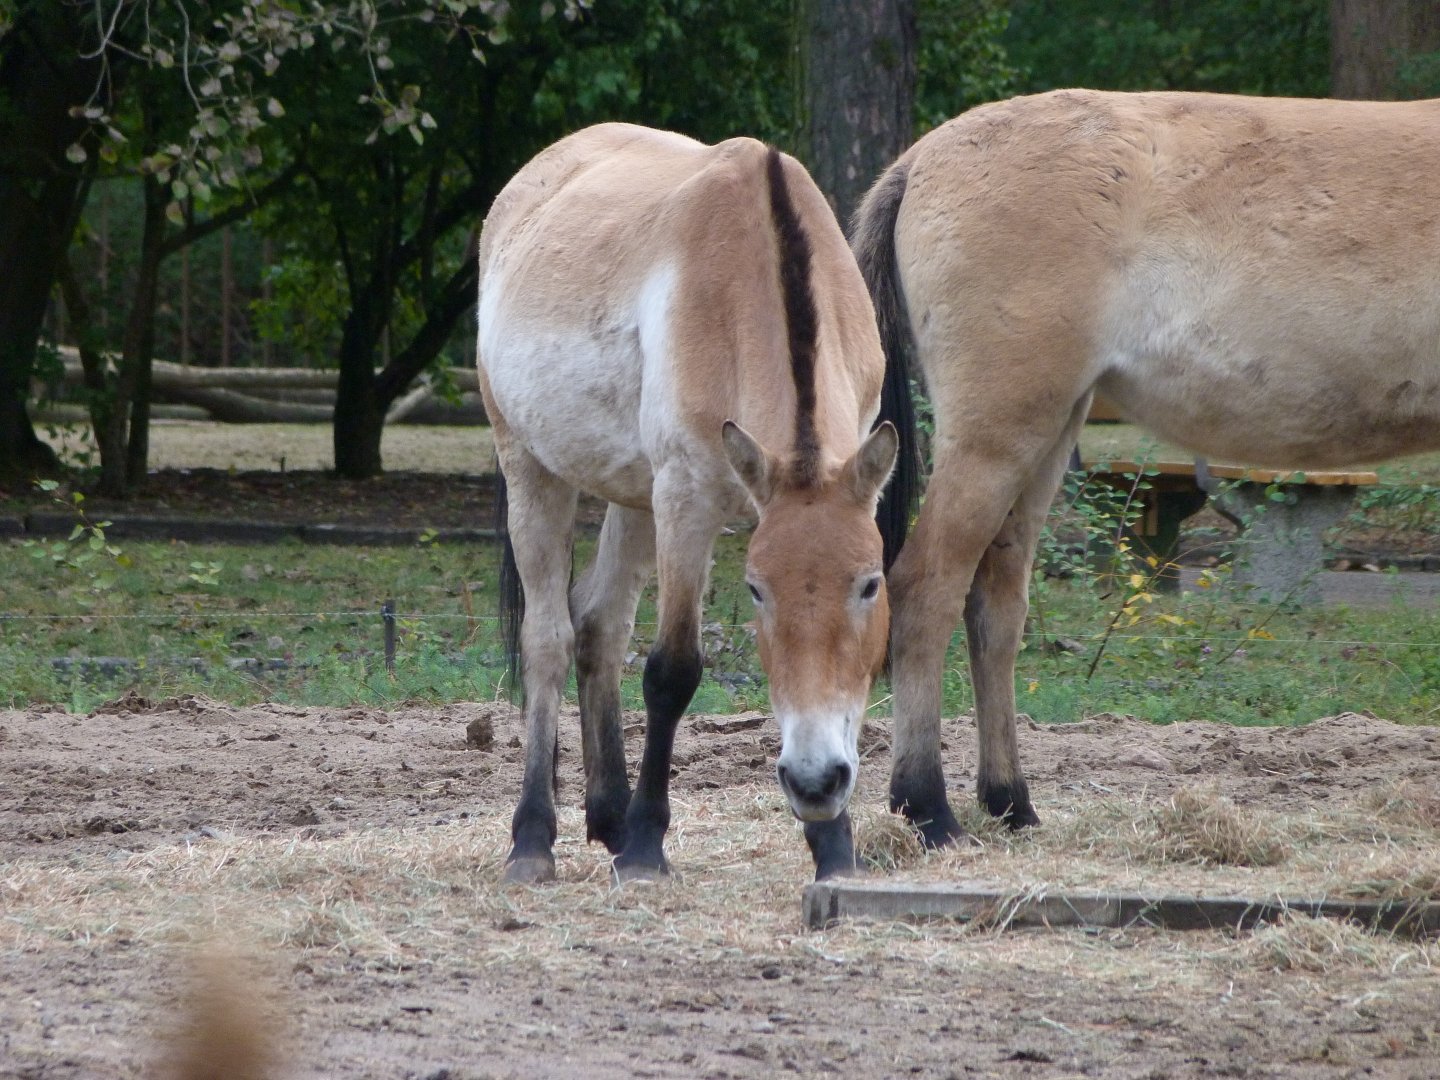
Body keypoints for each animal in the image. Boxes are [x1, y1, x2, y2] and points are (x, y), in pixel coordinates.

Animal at [476, 123, 903, 884]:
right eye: (757, 591)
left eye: (869, 585)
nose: (815, 781)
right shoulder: (686, 501)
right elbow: (673, 670)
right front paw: (647, 848)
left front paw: (833, 848)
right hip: (533, 470)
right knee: (548, 641)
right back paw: (533, 839)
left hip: (632, 499)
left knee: (599, 625)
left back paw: (608, 817)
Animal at [851, 89, 1440, 845]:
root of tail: (921, 158)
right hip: (997, 436)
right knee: (926, 592)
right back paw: (927, 808)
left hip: (1048, 436)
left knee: (995, 609)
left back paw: (1012, 801)